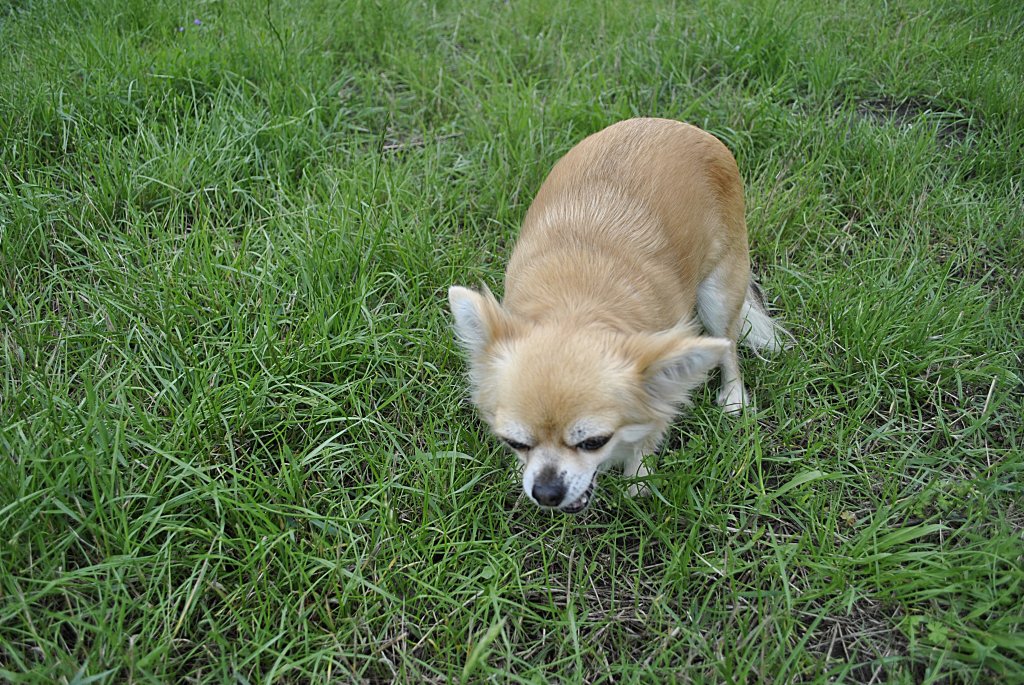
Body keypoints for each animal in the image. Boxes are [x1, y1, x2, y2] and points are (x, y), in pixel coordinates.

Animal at [444, 118, 786, 511]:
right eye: (516, 443)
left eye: (594, 442)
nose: (545, 492)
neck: (574, 308)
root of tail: (677, 125)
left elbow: (652, 425)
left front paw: (638, 479)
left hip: (719, 288)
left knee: (727, 342)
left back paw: (732, 397)